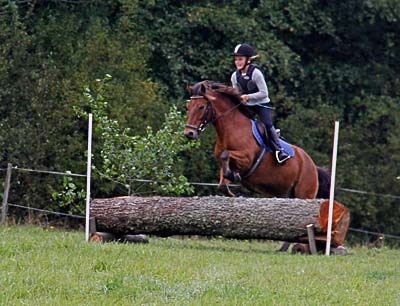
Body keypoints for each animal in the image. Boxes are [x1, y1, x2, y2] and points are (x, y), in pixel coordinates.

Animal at [184, 80, 332, 198]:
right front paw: (233, 181)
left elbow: (226, 155)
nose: (189, 133)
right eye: (188, 107)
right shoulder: (225, 165)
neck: (230, 130)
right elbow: (223, 184)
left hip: (304, 192)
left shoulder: (247, 159)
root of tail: (313, 166)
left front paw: (234, 176)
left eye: (201, 106)